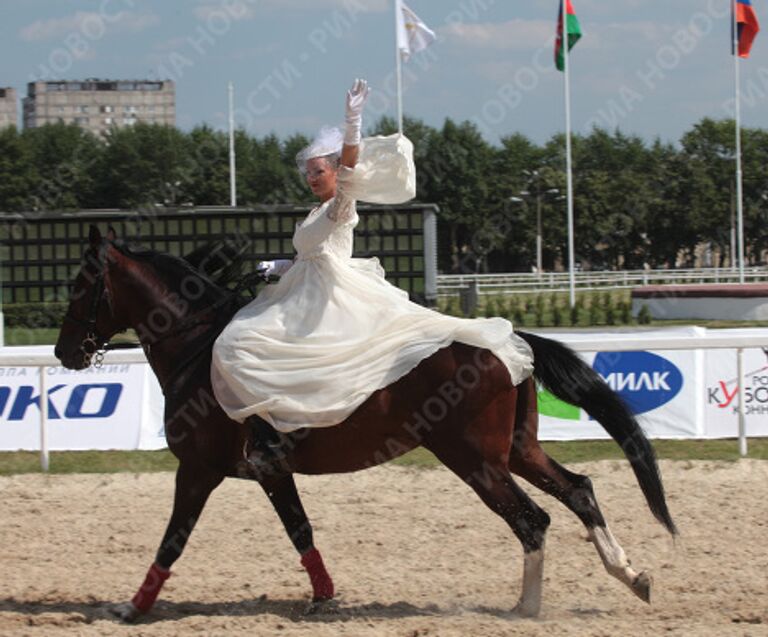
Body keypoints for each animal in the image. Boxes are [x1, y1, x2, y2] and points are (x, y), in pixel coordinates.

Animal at [54, 227, 676, 620]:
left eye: (81, 287)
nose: (64, 353)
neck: (196, 345)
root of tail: (508, 338)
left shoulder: (199, 469)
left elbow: (173, 540)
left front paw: (132, 607)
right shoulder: (270, 472)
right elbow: (301, 531)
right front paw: (323, 598)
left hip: (475, 460)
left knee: (532, 519)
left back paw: (527, 608)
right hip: (516, 452)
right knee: (578, 490)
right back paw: (631, 575)